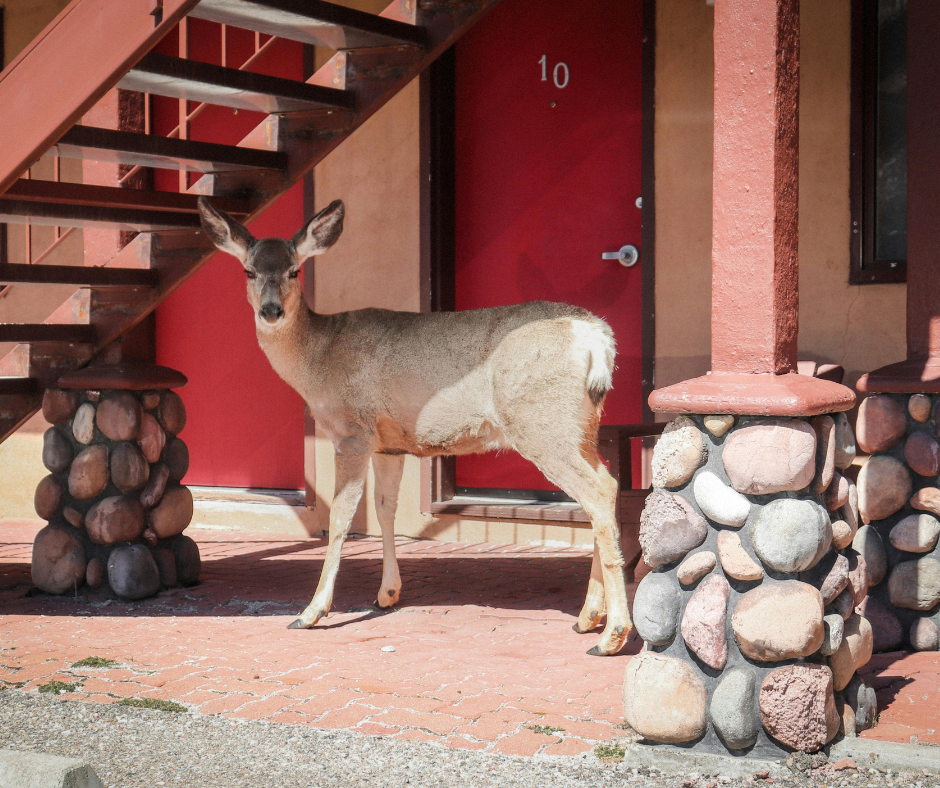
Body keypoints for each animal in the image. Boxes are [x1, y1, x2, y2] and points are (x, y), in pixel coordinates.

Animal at [196, 197, 633, 656]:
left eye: (295, 270)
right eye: (249, 270)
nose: (271, 311)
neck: (318, 360)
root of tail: (597, 336)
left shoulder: (352, 432)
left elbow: (340, 516)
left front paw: (311, 611)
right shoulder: (389, 444)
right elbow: (385, 509)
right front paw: (387, 594)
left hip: (542, 423)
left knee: (597, 492)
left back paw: (612, 635)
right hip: (582, 426)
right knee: (607, 487)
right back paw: (587, 618)